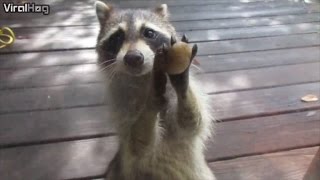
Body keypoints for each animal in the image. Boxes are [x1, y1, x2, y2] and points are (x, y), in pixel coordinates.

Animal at [94, 1, 215, 180]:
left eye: (149, 33)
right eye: (117, 37)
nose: (133, 58)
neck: (143, 78)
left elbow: (192, 123)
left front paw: (182, 83)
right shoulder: (121, 104)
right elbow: (137, 145)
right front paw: (150, 104)